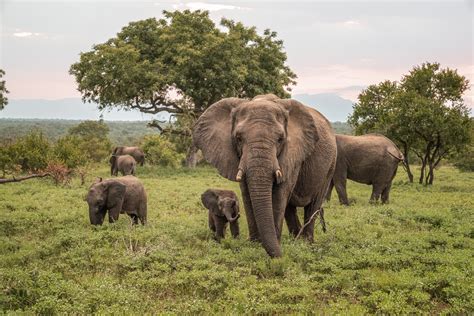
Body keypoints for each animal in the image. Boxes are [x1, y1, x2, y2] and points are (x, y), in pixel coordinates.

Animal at [193, 93, 336, 256]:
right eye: (238, 138)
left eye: (280, 139)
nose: (281, 256)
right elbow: (247, 194)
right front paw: (254, 245)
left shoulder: (292, 154)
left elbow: (280, 193)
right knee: (290, 209)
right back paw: (296, 239)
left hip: (330, 165)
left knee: (313, 205)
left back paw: (306, 243)